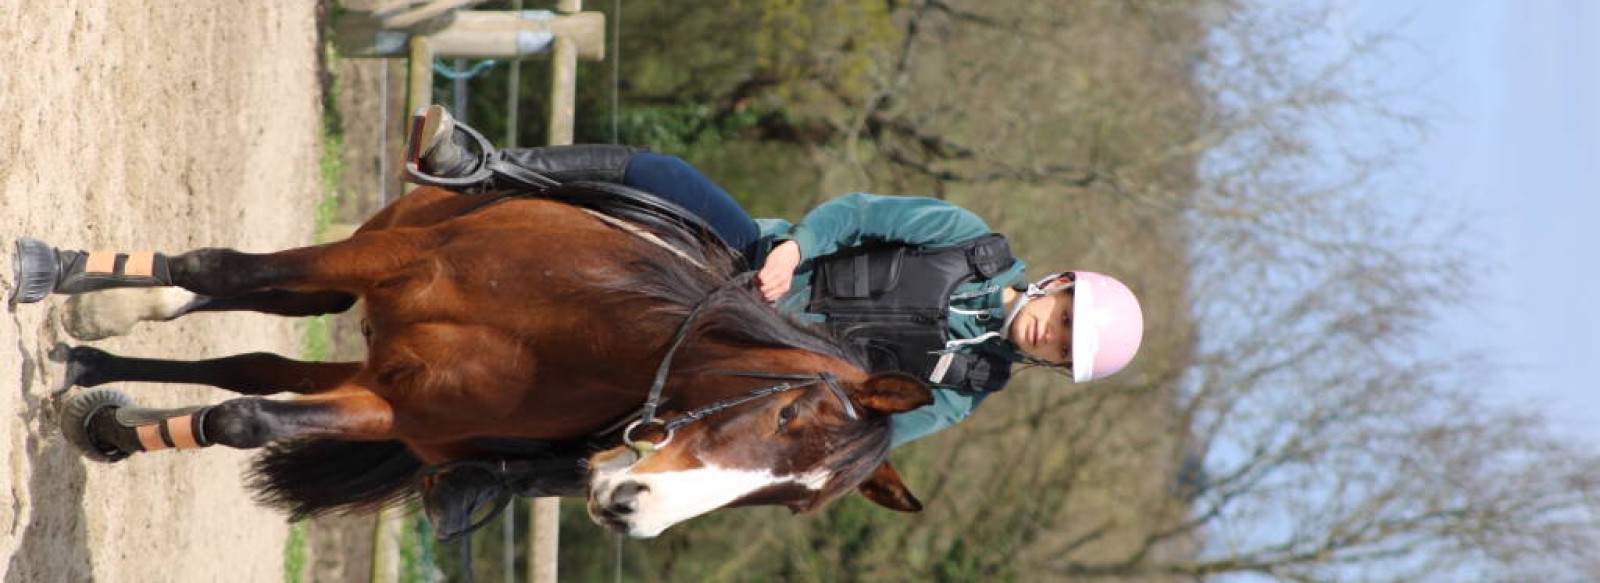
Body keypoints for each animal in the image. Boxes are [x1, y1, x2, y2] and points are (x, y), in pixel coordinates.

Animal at [12, 180, 934, 538]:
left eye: (791, 501)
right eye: (789, 410)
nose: (630, 509)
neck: (569, 335)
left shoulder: (404, 409)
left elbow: (245, 417)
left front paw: (112, 426)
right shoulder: (392, 259)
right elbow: (218, 271)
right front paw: (89, 287)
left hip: (370, 364)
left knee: (256, 361)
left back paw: (95, 377)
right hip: (375, 247)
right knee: (251, 290)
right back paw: (85, 287)